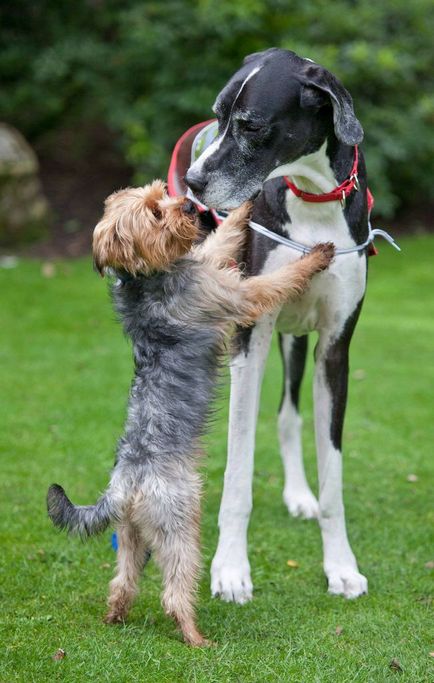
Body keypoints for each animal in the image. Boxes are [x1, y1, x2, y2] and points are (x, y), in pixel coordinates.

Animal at [185, 48, 372, 604]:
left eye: (250, 126)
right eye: (219, 116)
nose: (193, 182)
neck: (312, 201)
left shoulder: (335, 350)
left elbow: (332, 475)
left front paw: (340, 566)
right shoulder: (251, 341)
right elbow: (238, 471)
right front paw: (229, 569)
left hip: (295, 341)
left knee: (289, 416)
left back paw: (297, 495)